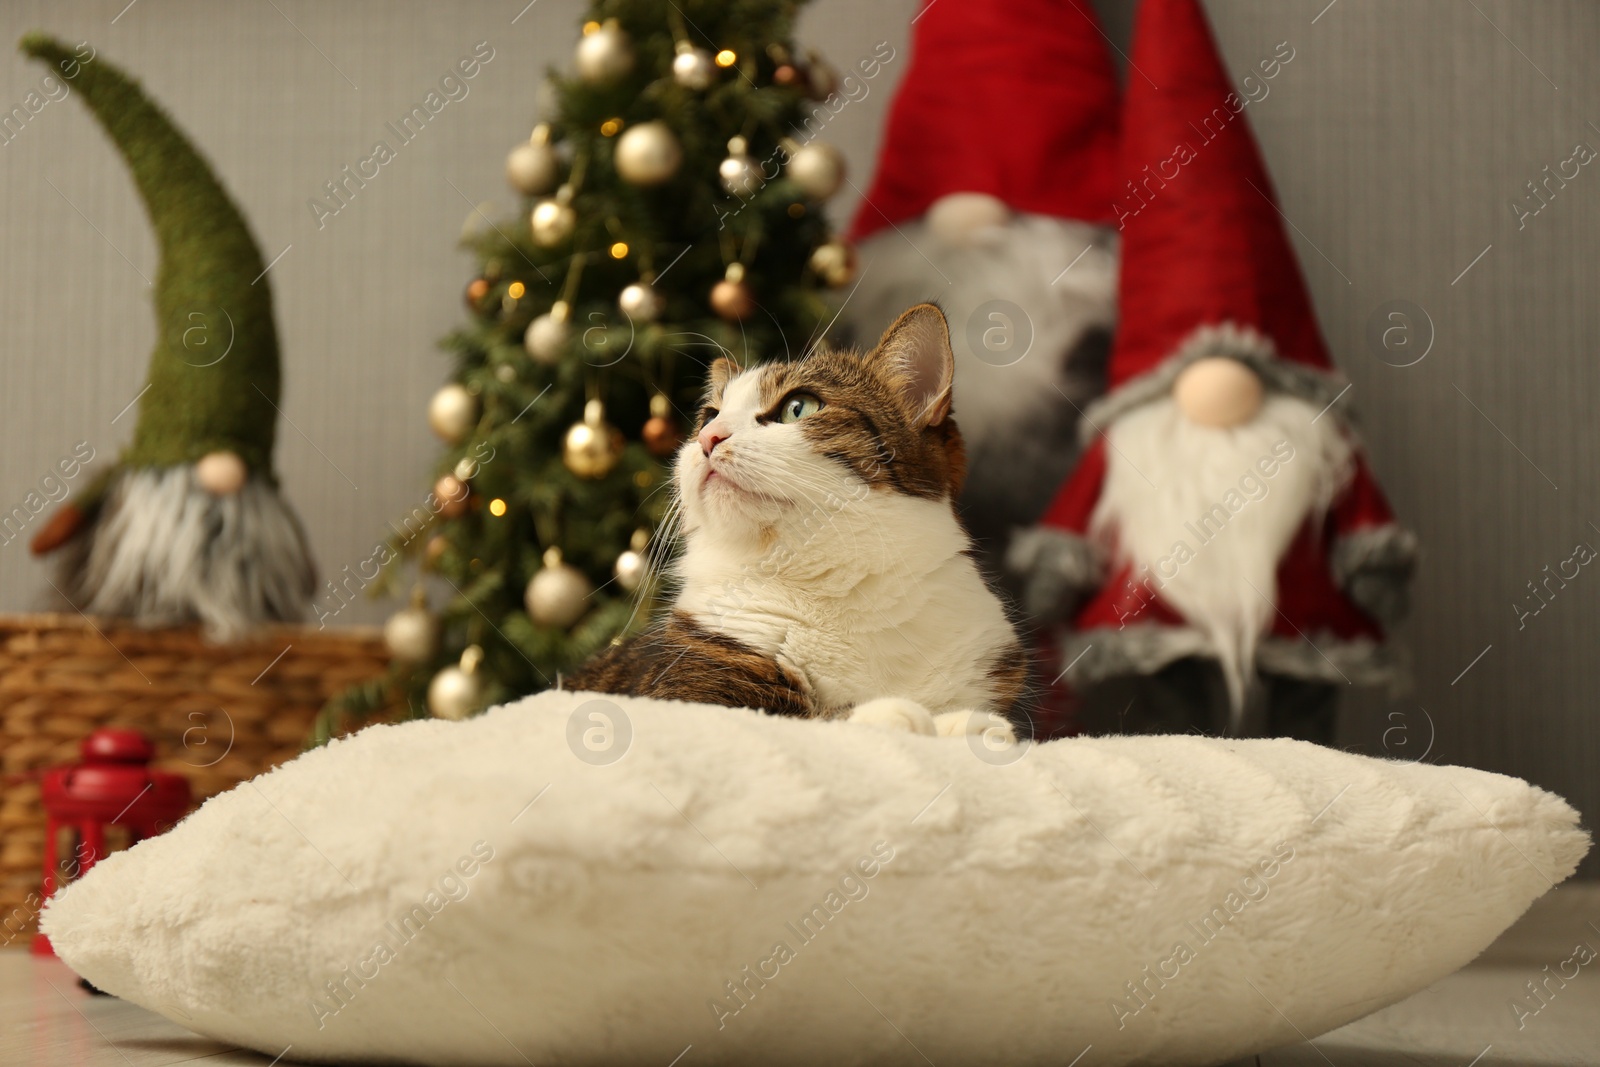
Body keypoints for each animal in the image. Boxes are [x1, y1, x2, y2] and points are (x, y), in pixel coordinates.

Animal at [569, 300, 1030, 735]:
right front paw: (891, 714)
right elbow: (799, 719)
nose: (707, 437)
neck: (845, 593)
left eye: (798, 408)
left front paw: (962, 723)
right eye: (708, 415)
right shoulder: (685, 694)